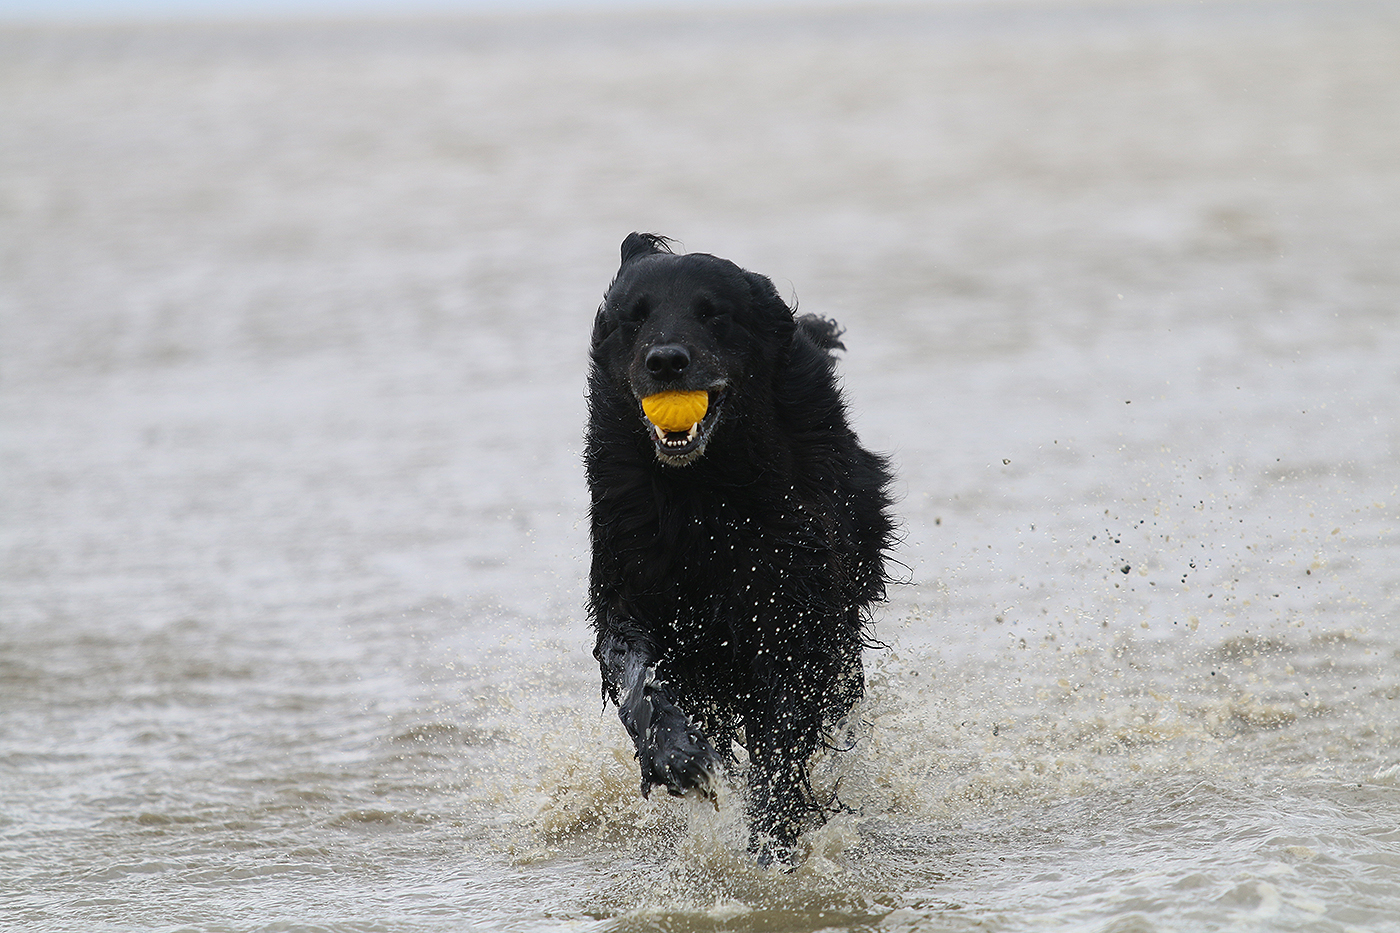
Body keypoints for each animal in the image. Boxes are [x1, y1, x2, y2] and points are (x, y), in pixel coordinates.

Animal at [585, 233, 896, 865]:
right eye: (635, 318)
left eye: (712, 313)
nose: (666, 361)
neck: (700, 492)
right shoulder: (627, 588)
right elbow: (634, 677)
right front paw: (676, 754)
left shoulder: (794, 609)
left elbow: (786, 732)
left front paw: (773, 836)